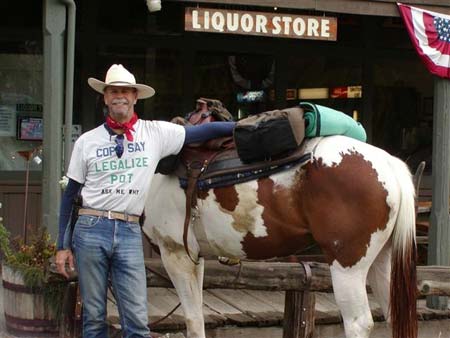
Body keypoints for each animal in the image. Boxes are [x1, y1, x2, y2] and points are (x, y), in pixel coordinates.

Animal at [142, 135, 416, 338]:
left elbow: (193, 320)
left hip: (348, 267)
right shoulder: (194, 257)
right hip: (382, 261)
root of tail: (388, 163)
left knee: (358, 323)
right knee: (393, 316)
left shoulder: (175, 254)